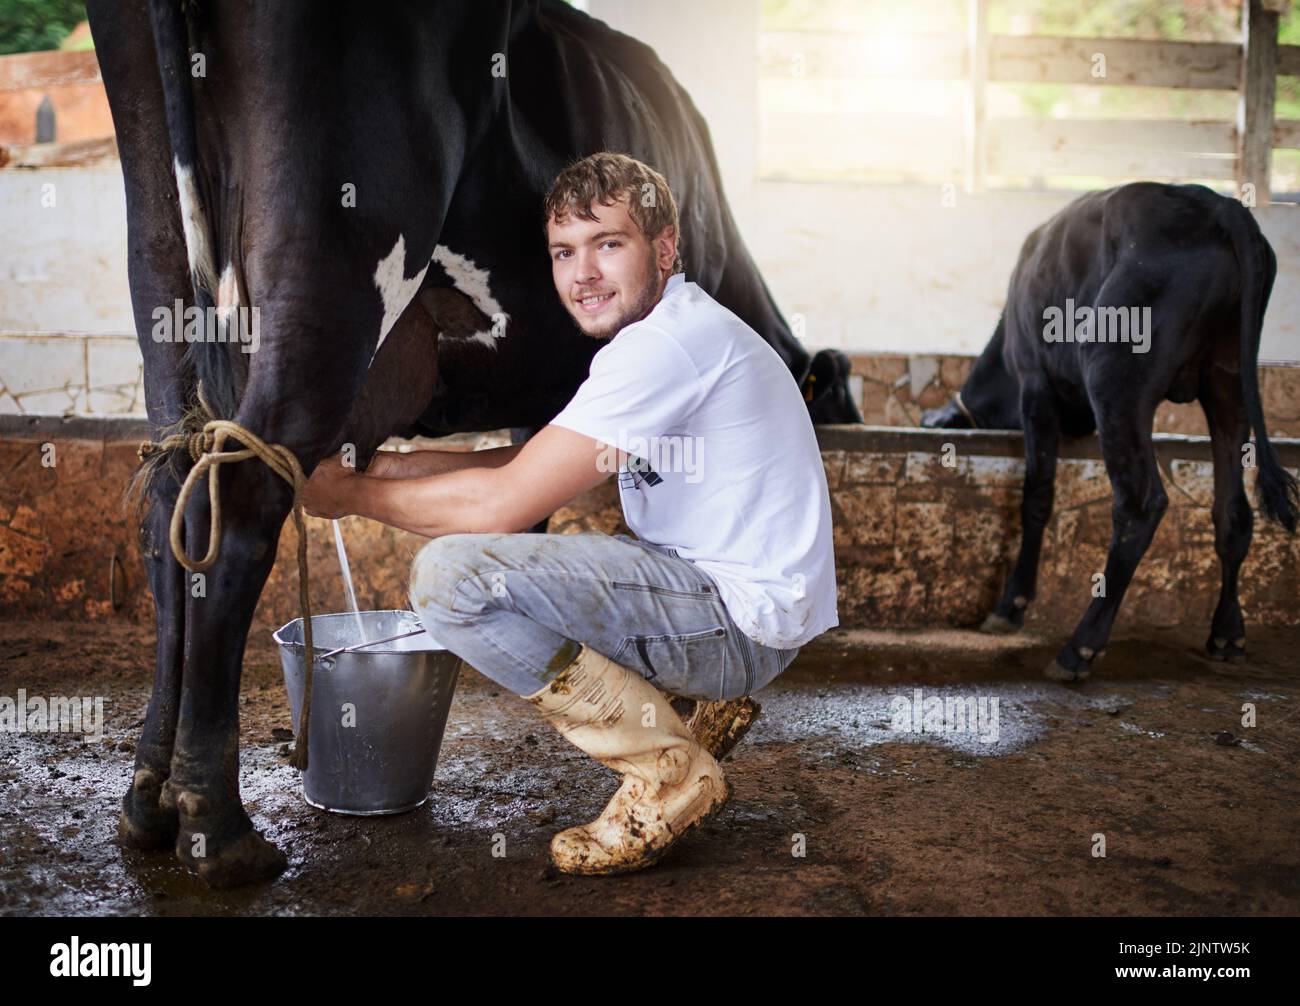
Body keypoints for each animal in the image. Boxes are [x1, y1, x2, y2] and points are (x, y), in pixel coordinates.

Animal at [920, 181, 1294, 686]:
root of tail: (1218, 205)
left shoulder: (1035, 385)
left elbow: (1037, 496)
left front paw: (1012, 605)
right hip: (1228, 383)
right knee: (1232, 511)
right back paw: (1226, 635)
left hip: (1114, 375)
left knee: (1141, 505)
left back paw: (1079, 648)